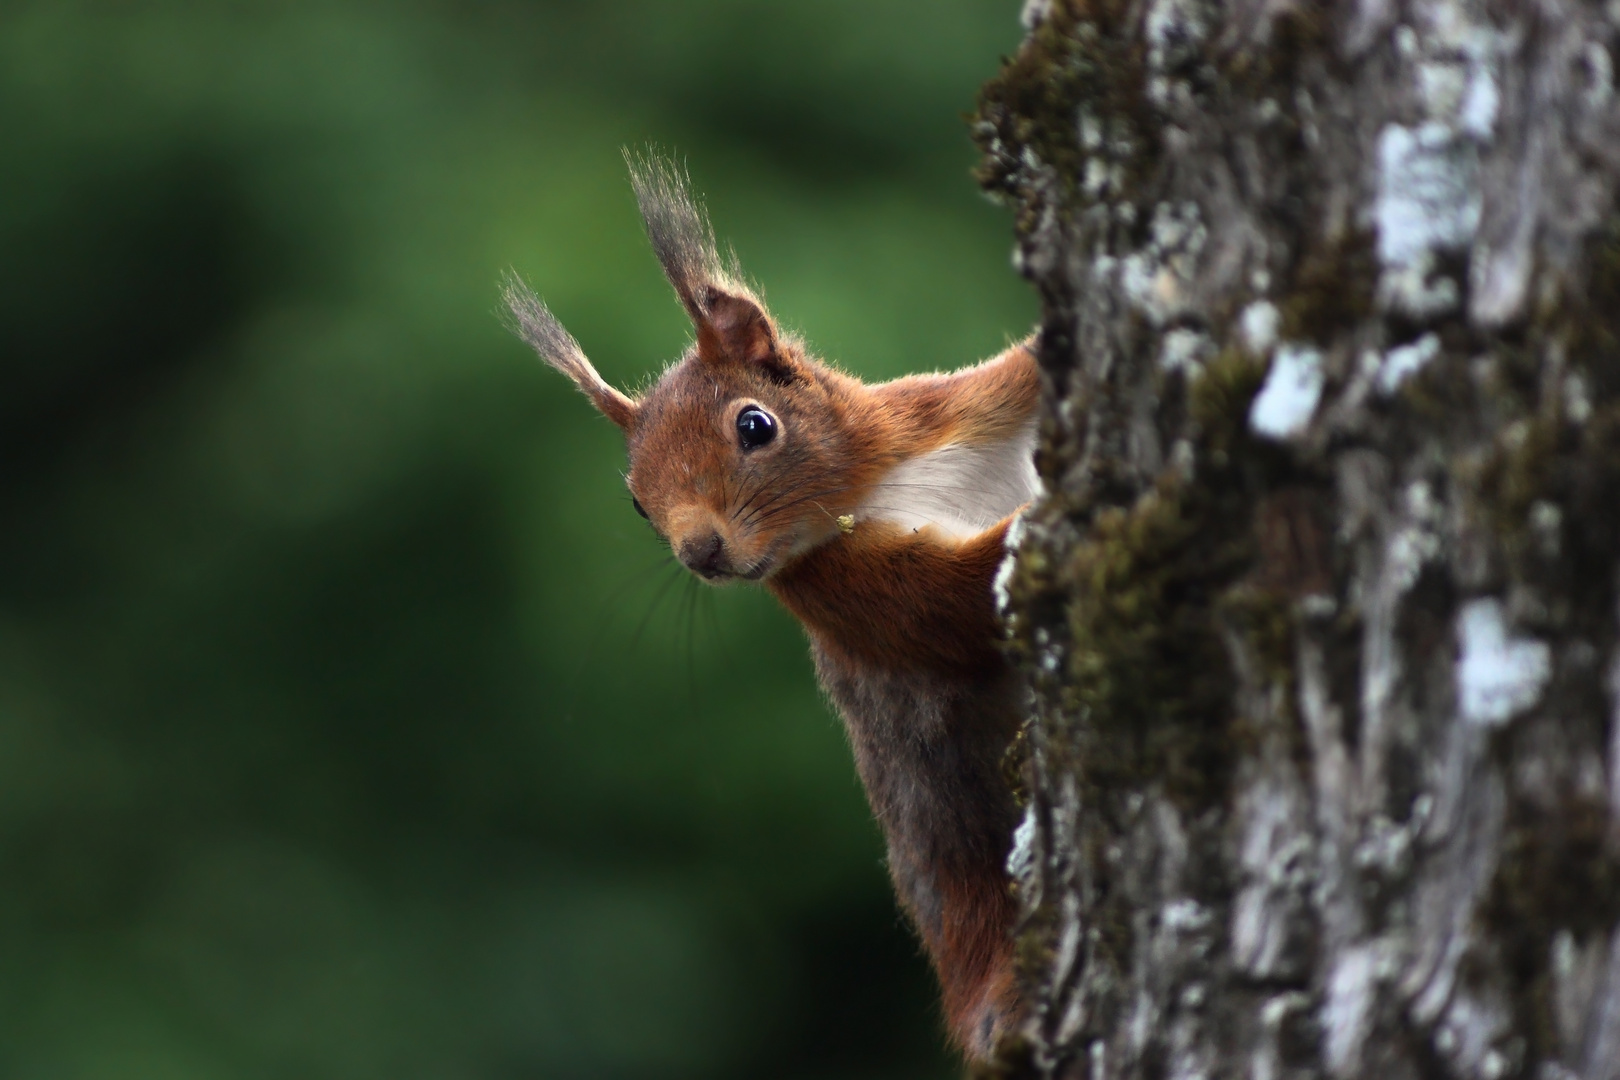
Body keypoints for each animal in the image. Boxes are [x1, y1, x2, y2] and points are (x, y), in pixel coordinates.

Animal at [505, 156, 1036, 1062]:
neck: (869, 489)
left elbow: (1025, 374)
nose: (701, 553)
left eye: (755, 425)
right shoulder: (856, 593)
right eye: (637, 503)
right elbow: (955, 606)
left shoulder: (951, 409)